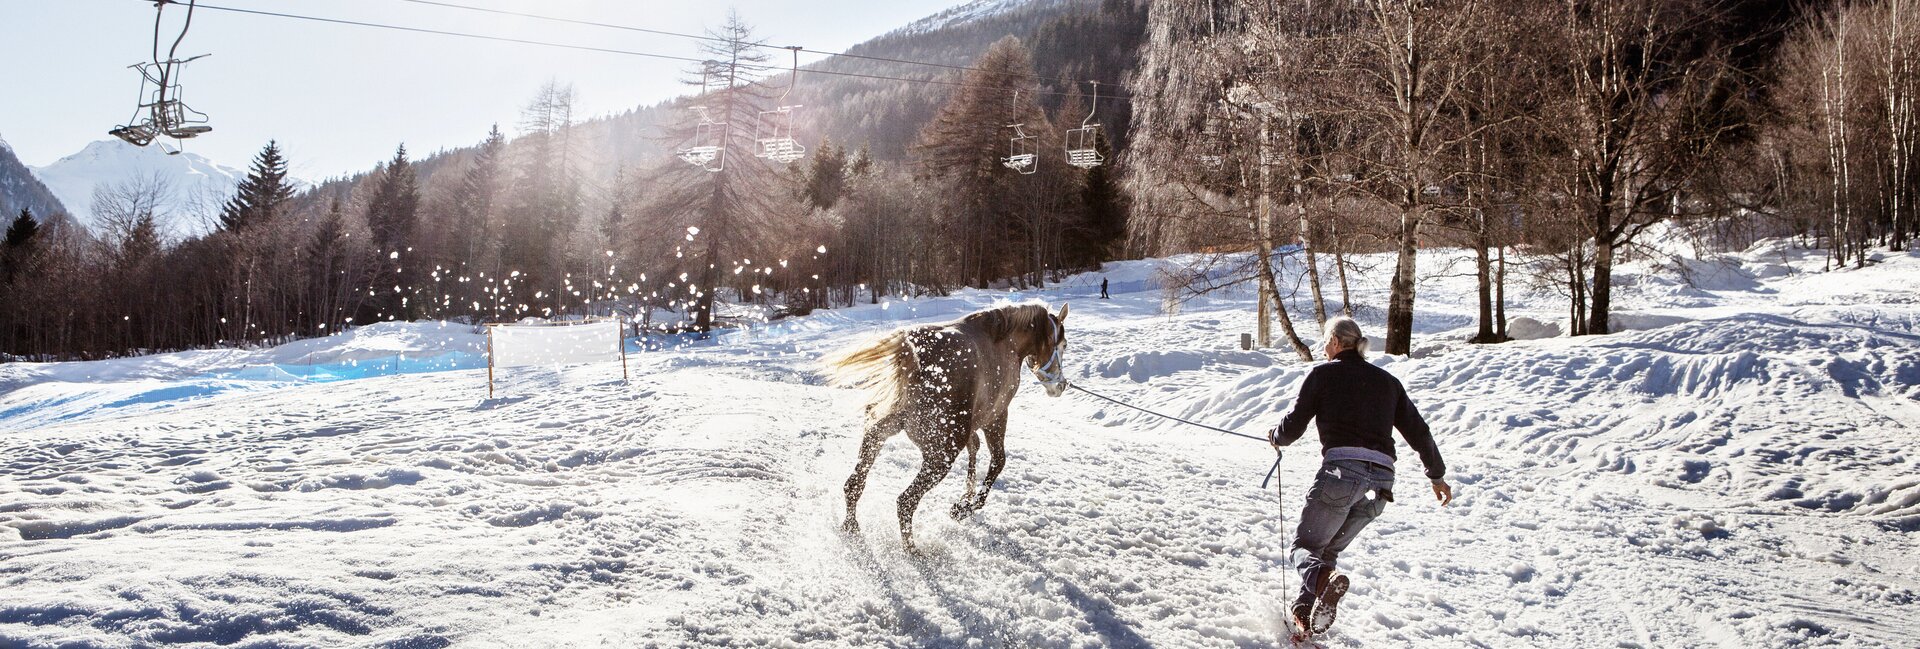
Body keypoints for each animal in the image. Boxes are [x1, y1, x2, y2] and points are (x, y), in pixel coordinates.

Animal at [821, 301, 1075, 549]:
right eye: (1063, 344)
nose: (1060, 386)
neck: (1005, 341)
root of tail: (915, 358)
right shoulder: (996, 417)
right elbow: (997, 462)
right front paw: (963, 508)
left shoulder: (972, 425)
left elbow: (974, 450)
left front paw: (965, 497)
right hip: (942, 455)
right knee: (905, 501)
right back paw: (912, 550)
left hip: (879, 432)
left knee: (854, 484)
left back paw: (851, 527)